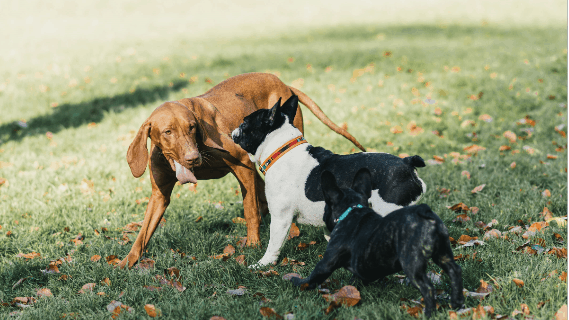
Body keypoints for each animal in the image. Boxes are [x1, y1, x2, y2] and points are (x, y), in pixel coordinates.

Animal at [122, 72, 366, 268]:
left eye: (191, 128)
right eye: (168, 132)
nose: (193, 158)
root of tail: (283, 83)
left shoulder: (242, 165)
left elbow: (250, 210)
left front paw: (253, 244)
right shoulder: (159, 195)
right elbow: (143, 232)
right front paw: (127, 262)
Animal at [231, 95, 426, 268]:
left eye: (244, 123)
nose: (234, 129)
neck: (282, 151)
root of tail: (407, 163)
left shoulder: (281, 218)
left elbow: (273, 244)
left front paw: (262, 264)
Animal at [288, 170, 462, 318]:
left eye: (326, 207)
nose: (323, 217)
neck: (351, 209)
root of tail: (424, 212)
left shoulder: (327, 262)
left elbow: (312, 277)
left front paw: (296, 282)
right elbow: (354, 279)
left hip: (412, 264)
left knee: (428, 288)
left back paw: (428, 314)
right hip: (443, 253)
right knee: (454, 271)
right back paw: (456, 303)